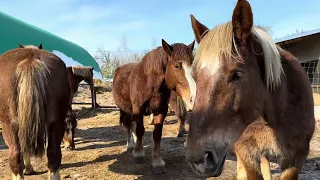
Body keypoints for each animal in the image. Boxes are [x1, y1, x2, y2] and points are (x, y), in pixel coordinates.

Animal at [0, 43, 70, 179]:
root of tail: (30, 59)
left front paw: (28, 169)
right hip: (56, 122)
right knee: (53, 155)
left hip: (8, 124)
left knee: (15, 156)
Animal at [112, 39, 195, 173]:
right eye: (177, 66)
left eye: (192, 65)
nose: (193, 98)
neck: (149, 83)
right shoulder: (138, 109)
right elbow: (140, 130)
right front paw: (138, 154)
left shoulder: (161, 110)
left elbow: (157, 134)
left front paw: (157, 162)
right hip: (124, 109)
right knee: (129, 125)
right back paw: (130, 145)